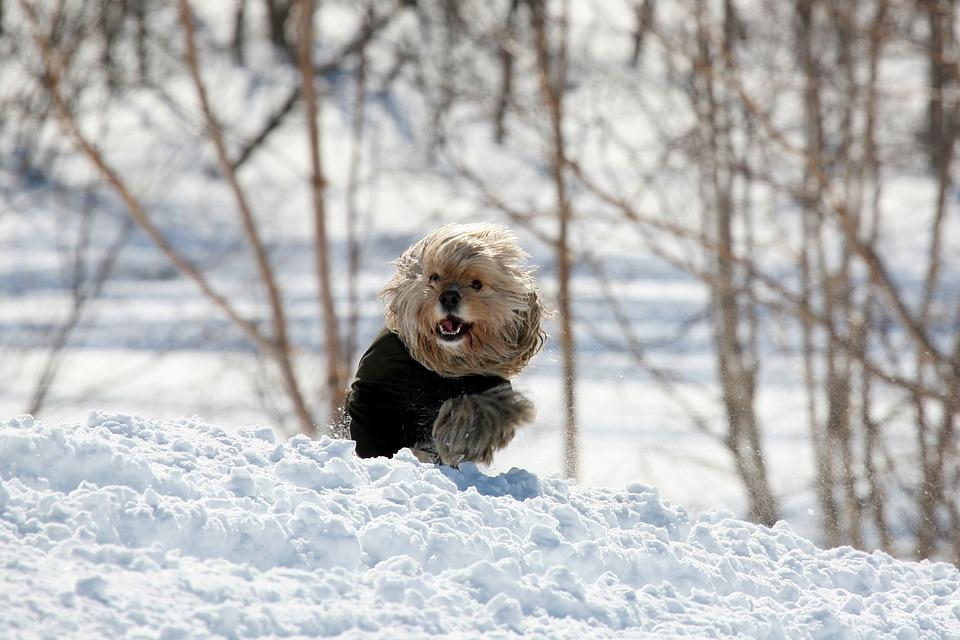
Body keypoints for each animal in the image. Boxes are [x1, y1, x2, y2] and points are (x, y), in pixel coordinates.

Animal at [344, 224, 544, 464]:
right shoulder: (376, 393)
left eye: (477, 284)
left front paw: (461, 437)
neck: (445, 363)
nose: (449, 297)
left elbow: (477, 409)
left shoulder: (488, 386)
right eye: (434, 277)